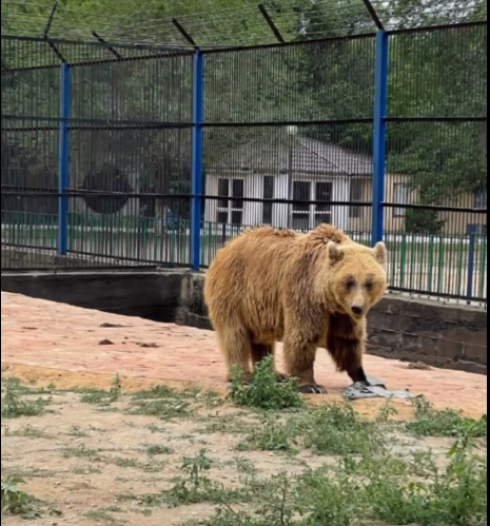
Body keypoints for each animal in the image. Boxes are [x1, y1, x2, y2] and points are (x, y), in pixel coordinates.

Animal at [203, 224, 386, 396]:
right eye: (350, 280)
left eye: (370, 282)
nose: (357, 308)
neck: (326, 297)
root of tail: (225, 248)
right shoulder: (304, 292)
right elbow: (303, 335)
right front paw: (311, 385)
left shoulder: (341, 313)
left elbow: (347, 340)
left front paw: (362, 378)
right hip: (234, 292)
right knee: (235, 335)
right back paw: (243, 375)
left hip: (259, 309)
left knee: (262, 339)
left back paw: (275, 374)